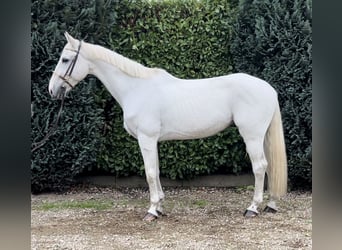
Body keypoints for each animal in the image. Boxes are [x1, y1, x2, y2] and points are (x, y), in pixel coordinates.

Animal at [48, 32, 288, 221]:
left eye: (65, 59)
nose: (52, 90)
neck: (136, 88)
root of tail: (268, 88)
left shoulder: (146, 138)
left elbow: (149, 173)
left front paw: (151, 211)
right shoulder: (152, 140)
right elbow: (156, 170)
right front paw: (160, 207)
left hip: (252, 136)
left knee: (260, 167)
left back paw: (253, 208)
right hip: (261, 137)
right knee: (270, 167)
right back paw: (271, 205)